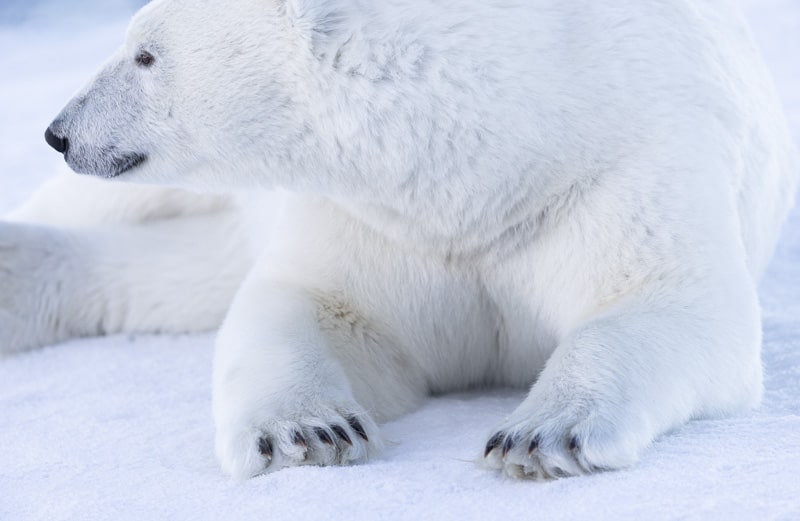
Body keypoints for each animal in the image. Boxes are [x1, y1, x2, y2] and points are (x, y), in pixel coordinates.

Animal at [1, 0, 798, 480]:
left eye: (146, 54)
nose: (60, 130)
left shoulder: (623, 163)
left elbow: (671, 300)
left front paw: (540, 435)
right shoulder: (373, 217)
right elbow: (312, 303)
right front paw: (307, 432)